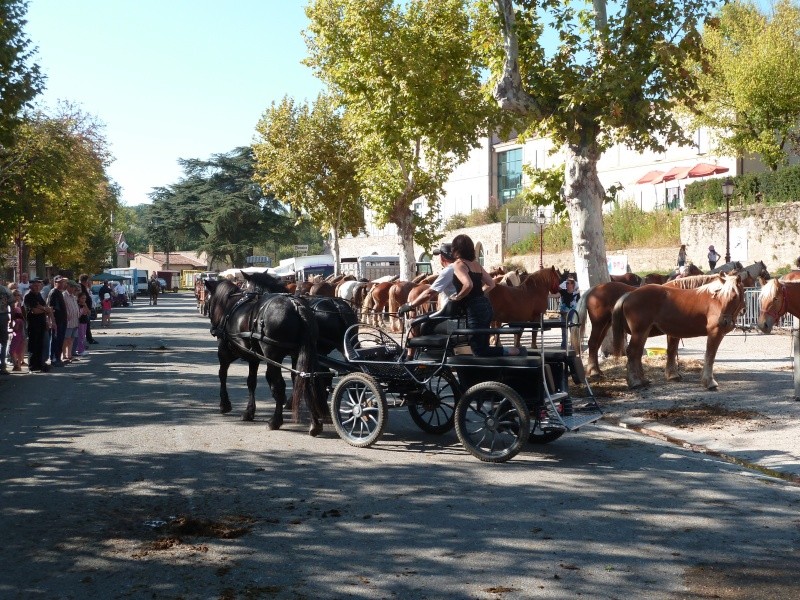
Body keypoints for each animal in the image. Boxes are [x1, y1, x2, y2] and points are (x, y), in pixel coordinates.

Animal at [205, 276, 326, 436]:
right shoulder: (253, 358)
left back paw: (275, 421)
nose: (213, 328)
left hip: (273, 357)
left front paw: (225, 404)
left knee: (279, 386)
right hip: (302, 354)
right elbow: (251, 382)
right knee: (305, 381)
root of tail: (296, 306)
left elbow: (222, 375)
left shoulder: (224, 353)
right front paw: (249, 411)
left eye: (208, 301)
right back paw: (315, 424)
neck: (229, 307)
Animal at [612, 274, 744, 390]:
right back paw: (635, 382)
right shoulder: (715, 333)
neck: (714, 302)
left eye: (734, 297)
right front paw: (709, 382)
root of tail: (629, 294)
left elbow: (672, 351)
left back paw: (642, 380)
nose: (723, 321)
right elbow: (710, 356)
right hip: (639, 331)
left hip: (643, 332)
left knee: (637, 353)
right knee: (632, 352)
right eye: (719, 296)